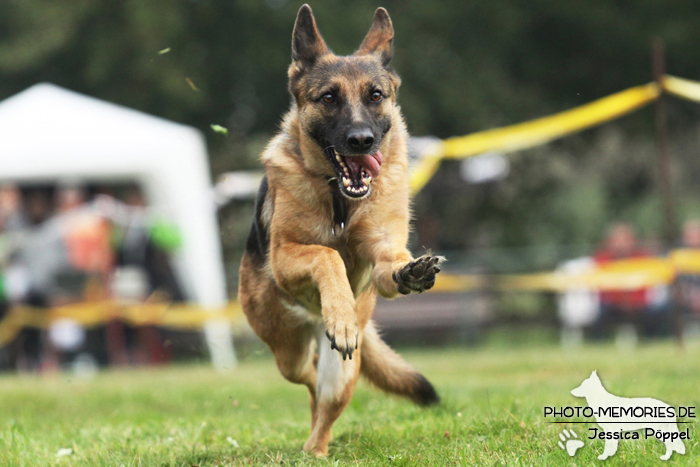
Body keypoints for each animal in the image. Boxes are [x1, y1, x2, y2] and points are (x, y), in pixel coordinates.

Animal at [238, 3, 440, 458]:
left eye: (375, 96)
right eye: (328, 97)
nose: (361, 140)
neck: (341, 201)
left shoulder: (381, 257)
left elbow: (390, 266)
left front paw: (409, 273)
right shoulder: (285, 258)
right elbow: (327, 254)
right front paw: (341, 313)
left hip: (343, 372)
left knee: (325, 400)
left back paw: (316, 449)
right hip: (288, 351)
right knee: (309, 376)